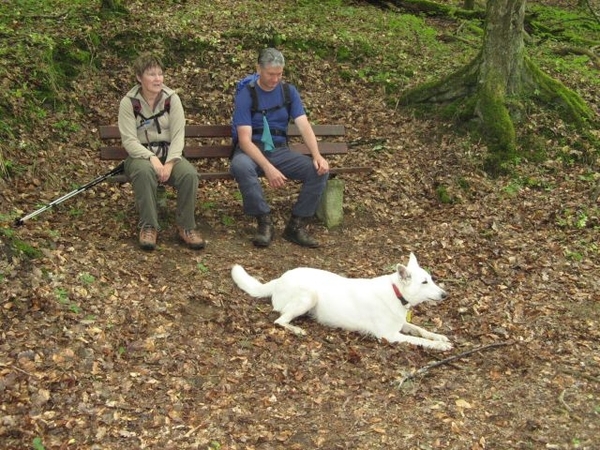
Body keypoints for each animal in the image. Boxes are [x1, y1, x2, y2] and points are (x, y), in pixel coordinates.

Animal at [232, 253, 452, 352]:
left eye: (431, 279)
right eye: (424, 282)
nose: (445, 295)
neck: (395, 291)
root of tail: (278, 280)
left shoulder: (400, 324)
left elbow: (421, 330)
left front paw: (439, 337)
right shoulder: (389, 336)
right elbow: (419, 340)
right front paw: (441, 346)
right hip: (310, 296)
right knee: (279, 321)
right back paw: (297, 330)